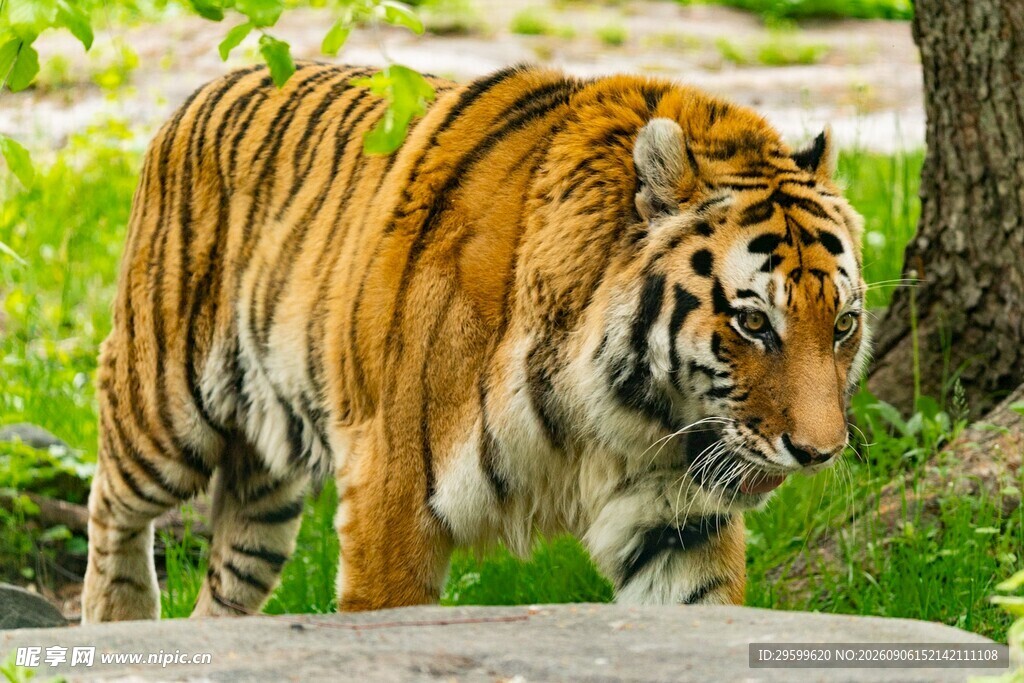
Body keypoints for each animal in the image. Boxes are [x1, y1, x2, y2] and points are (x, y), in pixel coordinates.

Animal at [81, 62, 870, 622]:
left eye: (843, 325)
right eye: (752, 323)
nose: (821, 452)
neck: (622, 412)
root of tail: (215, 84)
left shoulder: (677, 520)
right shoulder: (390, 495)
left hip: (266, 487)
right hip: (164, 409)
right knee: (111, 504)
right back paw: (121, 618)